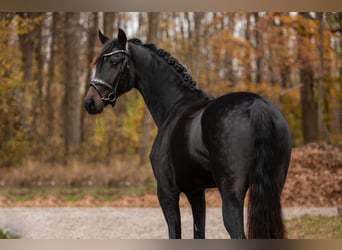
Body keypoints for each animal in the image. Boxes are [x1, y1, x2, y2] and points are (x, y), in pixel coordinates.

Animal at [84, 28, 292, 239]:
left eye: (115, 61)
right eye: (98, 63)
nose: (90, 102)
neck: (175, 105)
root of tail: (257, 106)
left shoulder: (167, 193)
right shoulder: (196, 192)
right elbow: (198, 233)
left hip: (231, 194)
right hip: (273, 190)